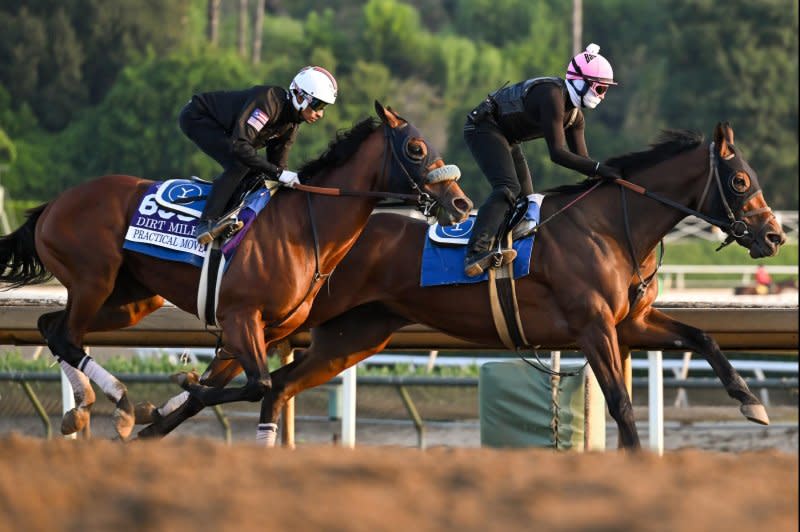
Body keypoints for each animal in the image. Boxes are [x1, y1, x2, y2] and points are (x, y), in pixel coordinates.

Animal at [0, 103, 472, 440]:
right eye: (416, 149)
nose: (462, 204)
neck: (304, 228)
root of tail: (53, 205)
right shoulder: (240, 317)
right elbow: (258, 384)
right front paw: (180, 386)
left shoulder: (262, 328)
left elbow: (234, 387)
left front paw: (174, 398)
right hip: (93, 281)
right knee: (65, 335)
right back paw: (119, 404)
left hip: (129, 301)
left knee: (53, 328)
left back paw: (84, 409)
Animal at [141, 121, 784, 448]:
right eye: (741, 179)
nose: (775, 234)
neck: (609, 226)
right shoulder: (595, 327)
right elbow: (623, 408)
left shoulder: (631, 322)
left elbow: (702, 337)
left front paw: (752, 403)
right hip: (286, 316)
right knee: (242, 375)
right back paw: (163, 413)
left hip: (348, 335)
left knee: (270, 386)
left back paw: (163, 418)